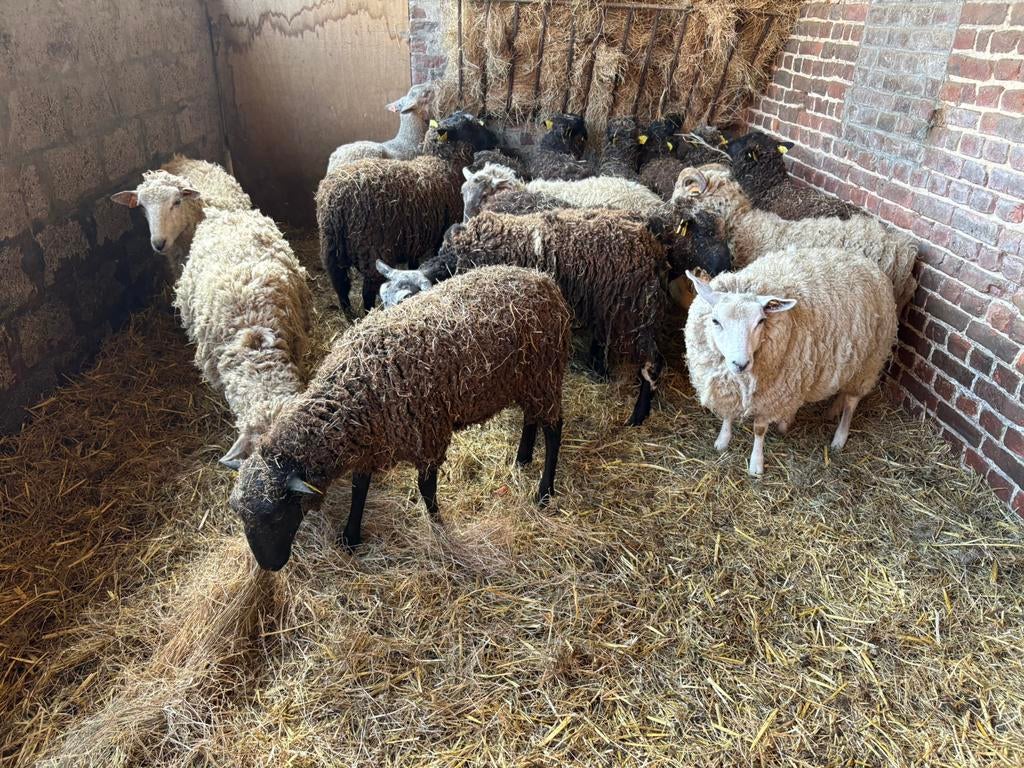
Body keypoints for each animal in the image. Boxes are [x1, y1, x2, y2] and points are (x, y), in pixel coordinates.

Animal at [227, 265, 571, 571]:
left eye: (276, 515)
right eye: (240, 514)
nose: (269, 567)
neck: (350, 396)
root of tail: (543, 280)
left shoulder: (429, 435)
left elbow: (426, 488)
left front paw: (438, 527)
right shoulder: (371, 441)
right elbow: (359, 487)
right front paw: (350, 536)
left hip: (545, 373)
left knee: (554, 428)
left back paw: (544, 491)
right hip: (525, 380)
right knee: (530, 417)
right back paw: (522, 457)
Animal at [315, 111, 497, 314]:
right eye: (470, 125)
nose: (495, 139)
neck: (445, 163)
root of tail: (333, 202)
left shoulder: (414, 235)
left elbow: (413, 262)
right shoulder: (441, 229)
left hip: (331, 253)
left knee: (341, 290)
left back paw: (351, 316)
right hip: (372, 250)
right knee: (367, 294)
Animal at [683, 247, 897, 476]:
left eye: (761, 321)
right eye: (715, 321)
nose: (740, 364)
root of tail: (867, 263)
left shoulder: (771, 397)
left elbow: (759, 430)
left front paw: (756, 463)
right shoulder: (729, 388)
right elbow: (727, 415)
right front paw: (722, 441)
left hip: (869, 363)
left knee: (851, 402)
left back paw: (839, 437)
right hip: (851, 362)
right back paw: (828, 412)